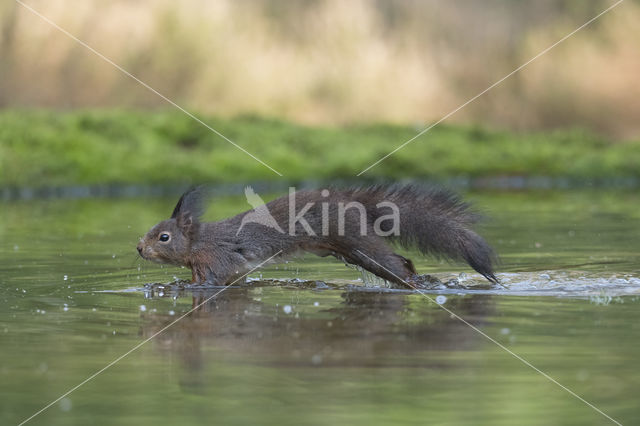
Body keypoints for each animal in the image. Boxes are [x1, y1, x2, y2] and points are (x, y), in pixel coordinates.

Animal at [139, 184, 500, 290]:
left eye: (164, 237)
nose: (140, 248)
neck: (198, 242)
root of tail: (353, 203)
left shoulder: (219, 258)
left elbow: (214, 281)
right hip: (350, 252)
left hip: (359, 243)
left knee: (399, 264)